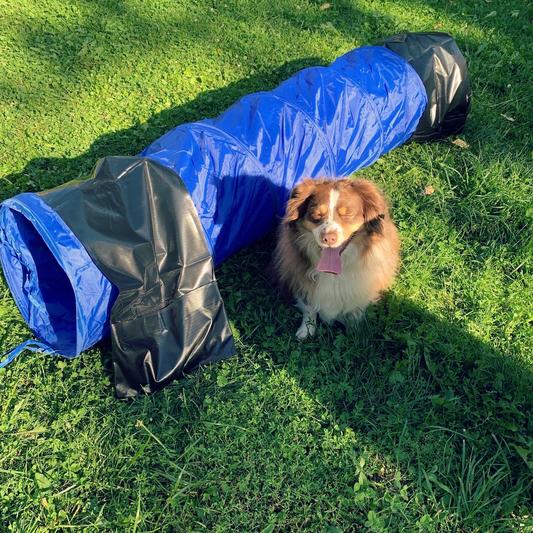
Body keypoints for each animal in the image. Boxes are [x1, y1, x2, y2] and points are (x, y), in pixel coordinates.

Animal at [274, 178, 400, 336]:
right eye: (316, 215)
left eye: (348, 215)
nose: (328, 238)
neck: (334, 273)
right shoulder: (300, 278)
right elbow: (309, 306)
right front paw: (306, 331)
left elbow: (355, 309)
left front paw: (354, 330)